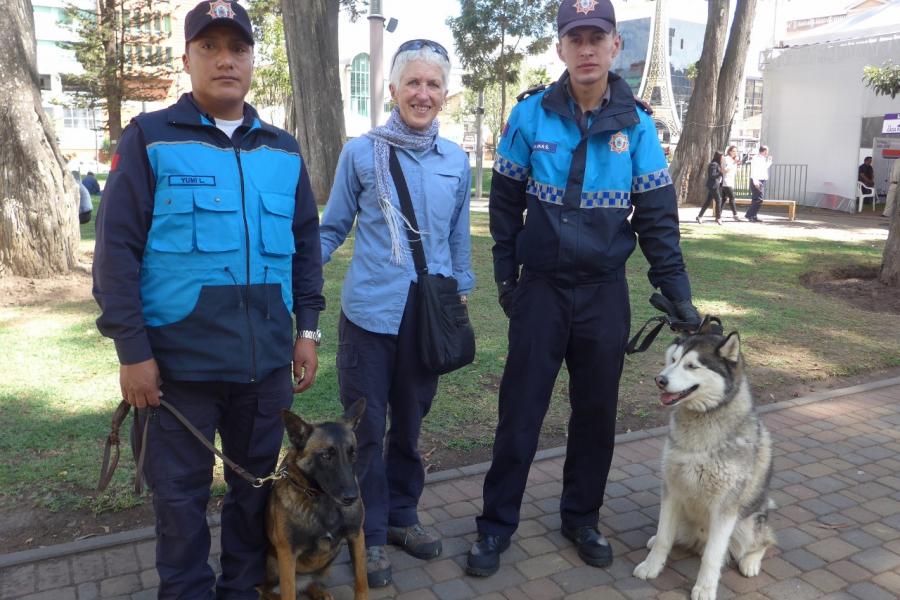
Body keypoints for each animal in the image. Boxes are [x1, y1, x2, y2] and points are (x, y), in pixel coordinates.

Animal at [260, 398, 370, 600]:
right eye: (326, 456)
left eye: (353, 454)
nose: (352, 497)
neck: (323, 501)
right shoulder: (287, 554)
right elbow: (288, 593)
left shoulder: (357, 537)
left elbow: (361, 584)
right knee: (266, 589)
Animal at [632, 326, 772, 600]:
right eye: (673, 360)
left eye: (692, 366)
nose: (659, 380)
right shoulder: (672, 490)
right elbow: (664, 538)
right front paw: (652, 566)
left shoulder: (725, 508)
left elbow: (712, 556)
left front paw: (705, 588)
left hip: (748, 523)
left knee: (764, 542)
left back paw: (750, 561)